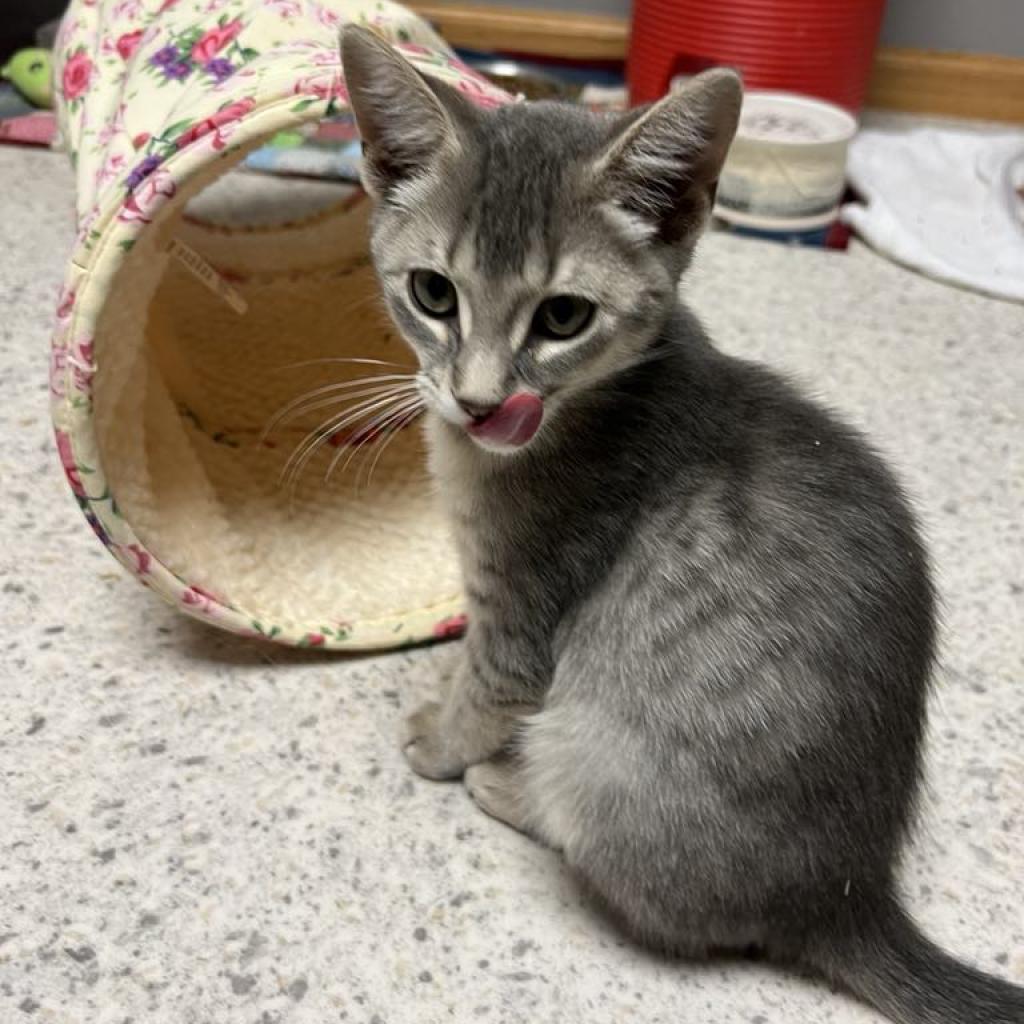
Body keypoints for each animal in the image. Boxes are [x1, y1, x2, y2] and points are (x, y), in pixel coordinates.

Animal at [339, 24, 1019, 1024]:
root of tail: (846, 895)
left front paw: (440, 742)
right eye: (432, 294)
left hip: (589, 748)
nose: (478, 402)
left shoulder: (523, 614)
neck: (598, 403)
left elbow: (486, 687)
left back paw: (507, 785)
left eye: (563, 315)